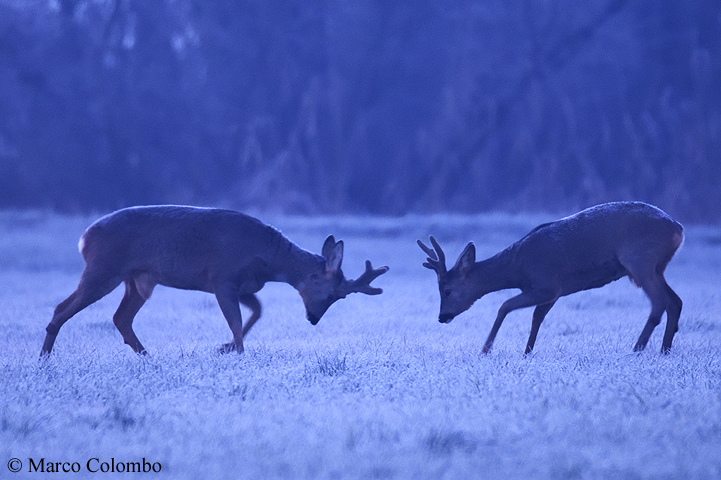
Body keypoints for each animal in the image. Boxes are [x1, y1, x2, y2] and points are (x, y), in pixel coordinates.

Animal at [39, 206, 388, 356]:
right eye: (333, 295)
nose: (313, 319)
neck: (270, 259)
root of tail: (84, 238)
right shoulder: (222, 277)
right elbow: (236, 320)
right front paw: (237, 350)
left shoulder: (245, 285)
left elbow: (256, 312)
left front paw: (225, 347)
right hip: (104, 267)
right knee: (61, 308)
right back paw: (44, 359)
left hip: (137, 280)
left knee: (120, 317)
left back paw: (148, 356)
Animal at [416, 201, 680, 354]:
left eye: (447, 290)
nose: (442, 316)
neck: (517, 268)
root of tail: (677, 228)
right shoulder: (554, 292)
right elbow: (537, 318)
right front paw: (527, 352)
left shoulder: (546, 284)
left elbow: (504, 306)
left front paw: (485, 349)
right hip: (657, 266)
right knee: (675, 301)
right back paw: (664, 349)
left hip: (639, 258)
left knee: (659, 301)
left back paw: (637, 348)